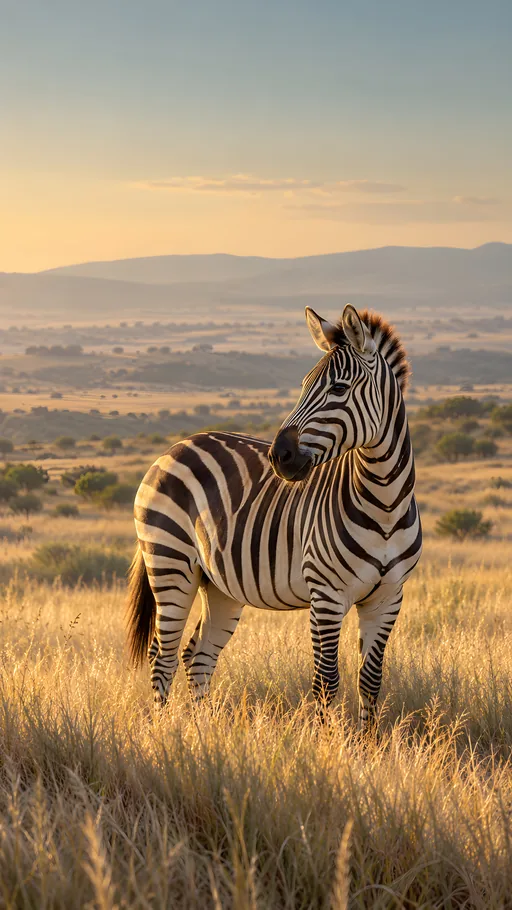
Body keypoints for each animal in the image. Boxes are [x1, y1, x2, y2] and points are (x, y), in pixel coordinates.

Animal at [127, 304, 422, 727]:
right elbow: (326, 680)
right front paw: (327, 740)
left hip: (219, 584)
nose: (279, 456)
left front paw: (369, 742)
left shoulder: (387, 598)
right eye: (304, 385)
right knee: (162, 657)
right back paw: (164, 731)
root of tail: (176, 446)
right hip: (169, 564)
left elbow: (370, 681)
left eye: (338, 389)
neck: (384, 502)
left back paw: (201, 731)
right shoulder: (326, 595)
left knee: (197, 655)